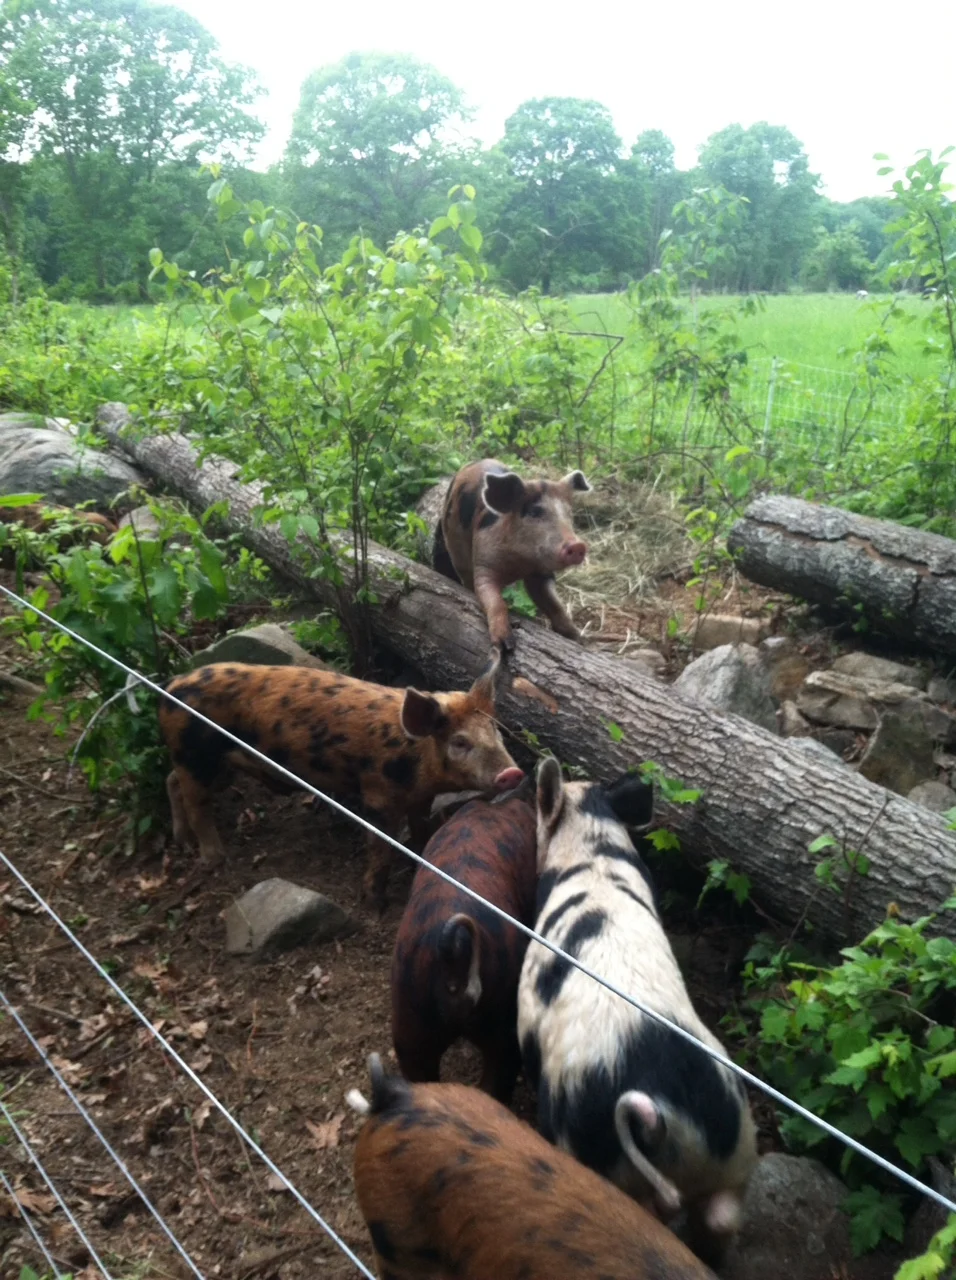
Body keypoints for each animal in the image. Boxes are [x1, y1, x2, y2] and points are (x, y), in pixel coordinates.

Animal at [158, 651, 523, 910]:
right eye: (460, 742)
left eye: (496, 731)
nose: (513, 773)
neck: (415, 759)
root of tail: (170, 687)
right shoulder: (377, 797)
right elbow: (381, 850)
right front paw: (375, 903)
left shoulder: (420, 797)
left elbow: (421, 829)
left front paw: (423, 853)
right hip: (194, 756)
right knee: (196, 802)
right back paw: (214, 859)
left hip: (214, 765)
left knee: (172, 781)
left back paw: (182, 841)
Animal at [435, 459, 591, 652]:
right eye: (534, 512)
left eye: (569, 513)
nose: (577, 545)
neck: (519, 563)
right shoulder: (483, 561)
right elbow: (493, 599)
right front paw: (505, 645)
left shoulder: (540, 573)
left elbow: (554, 604)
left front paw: (579, 640)